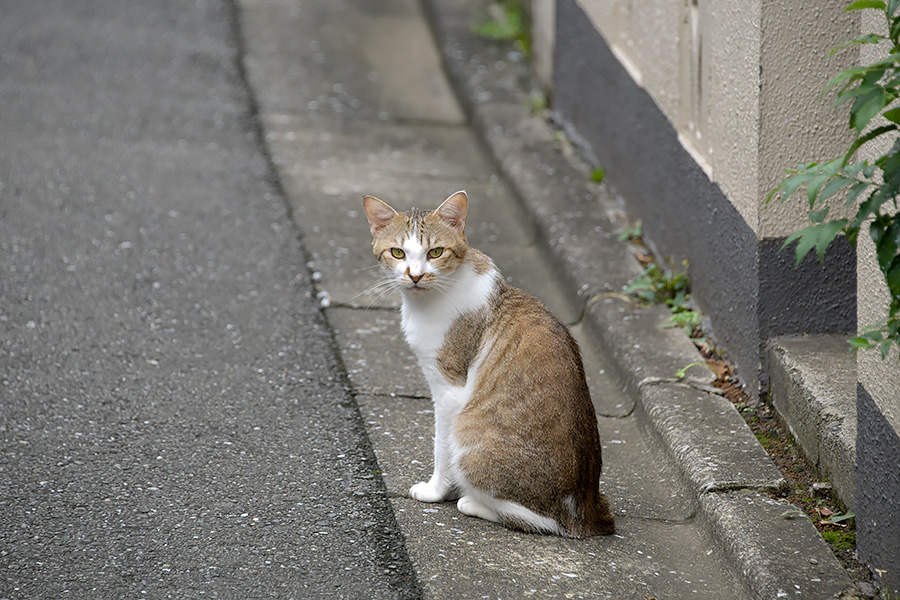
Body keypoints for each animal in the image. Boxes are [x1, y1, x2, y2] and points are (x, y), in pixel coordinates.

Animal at [362, 190, 616, 536]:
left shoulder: (450, 390)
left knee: (542, 521)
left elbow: (441, 447)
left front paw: (436, 490)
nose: (414, 275)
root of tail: (587, 510)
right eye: (398, 252)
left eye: (435, 252)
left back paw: (473, 503)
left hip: (470, 437)